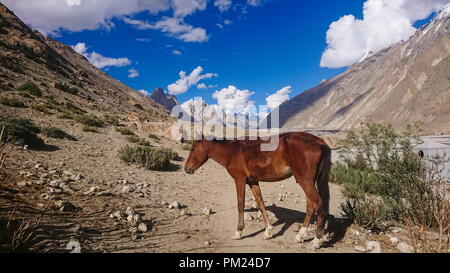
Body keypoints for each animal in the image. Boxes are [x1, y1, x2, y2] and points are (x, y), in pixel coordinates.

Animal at [185, 132, 332, 249]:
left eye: (193, 148)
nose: (186, 169)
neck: (232, 151)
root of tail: (320, 142)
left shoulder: (240, 180)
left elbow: (240, 205)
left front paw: (238, 232)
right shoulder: (253, 181)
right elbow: (260, 203)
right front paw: (268, 231)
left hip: (305, 180)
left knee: (318, 204)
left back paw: (317, 240)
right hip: (309, 181)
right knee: (311, 205)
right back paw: (300, 236)